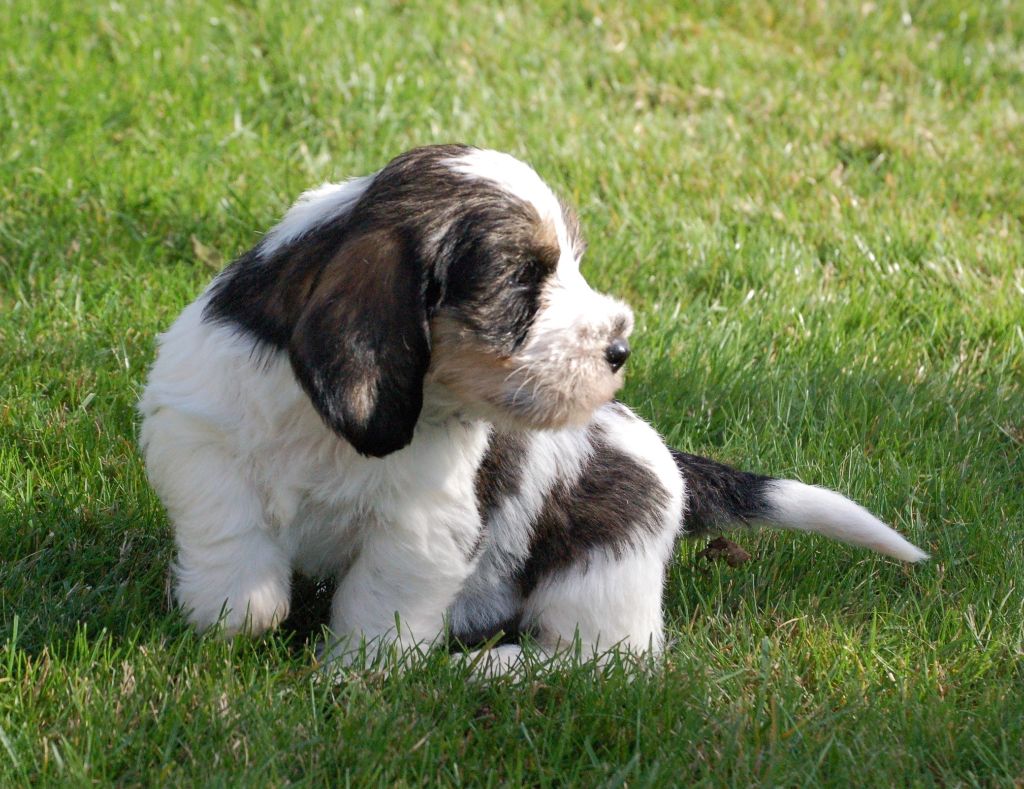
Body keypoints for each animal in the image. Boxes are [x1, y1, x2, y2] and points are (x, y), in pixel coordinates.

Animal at [136, 143, 929, 671]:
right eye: (522, 281)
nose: (619, 346)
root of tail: (669, 463)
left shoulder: (422, 528)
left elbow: (376, 611)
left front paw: (354, 682)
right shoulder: (198, 431)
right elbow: (232, 536)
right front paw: (233, 611)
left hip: (600, 584)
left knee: (602, 664)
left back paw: (490, 666)